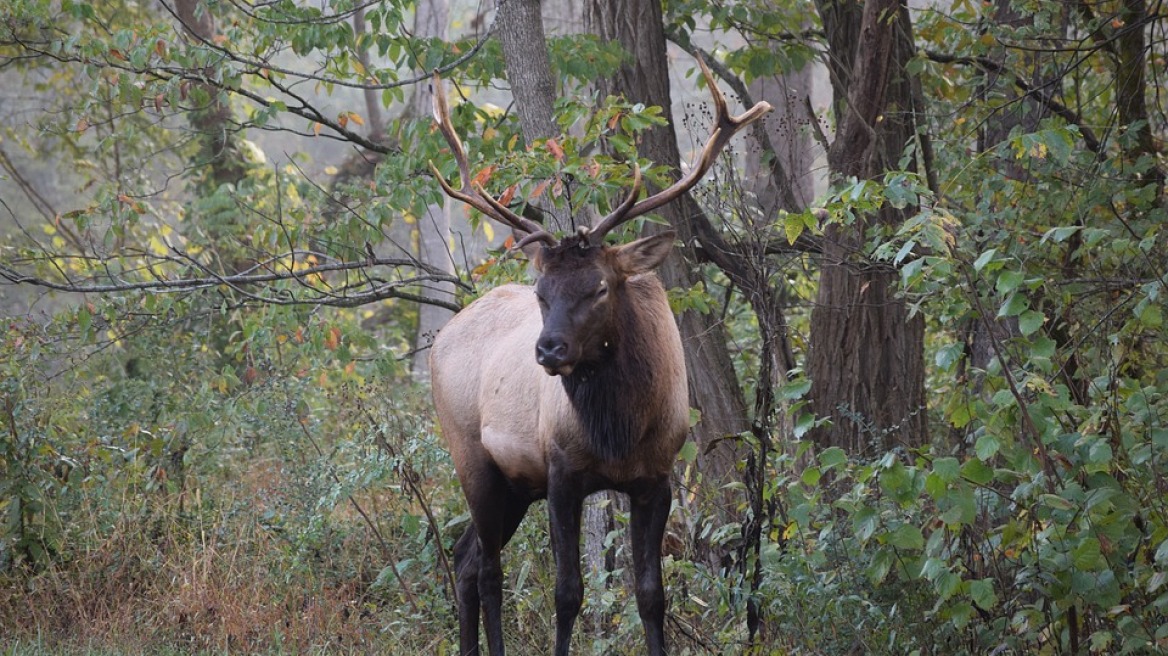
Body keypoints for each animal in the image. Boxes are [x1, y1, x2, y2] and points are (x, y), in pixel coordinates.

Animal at [425, 57, 770, 653]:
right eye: (542, 291)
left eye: (600, 288)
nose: (548, 348)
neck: (619, 430)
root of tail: (442, 337)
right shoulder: (561, 471)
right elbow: (568, 593)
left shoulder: (656, 477)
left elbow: (651, 595)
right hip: (472, 456)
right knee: (485, 569)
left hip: (516, 485)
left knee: (467, 560)